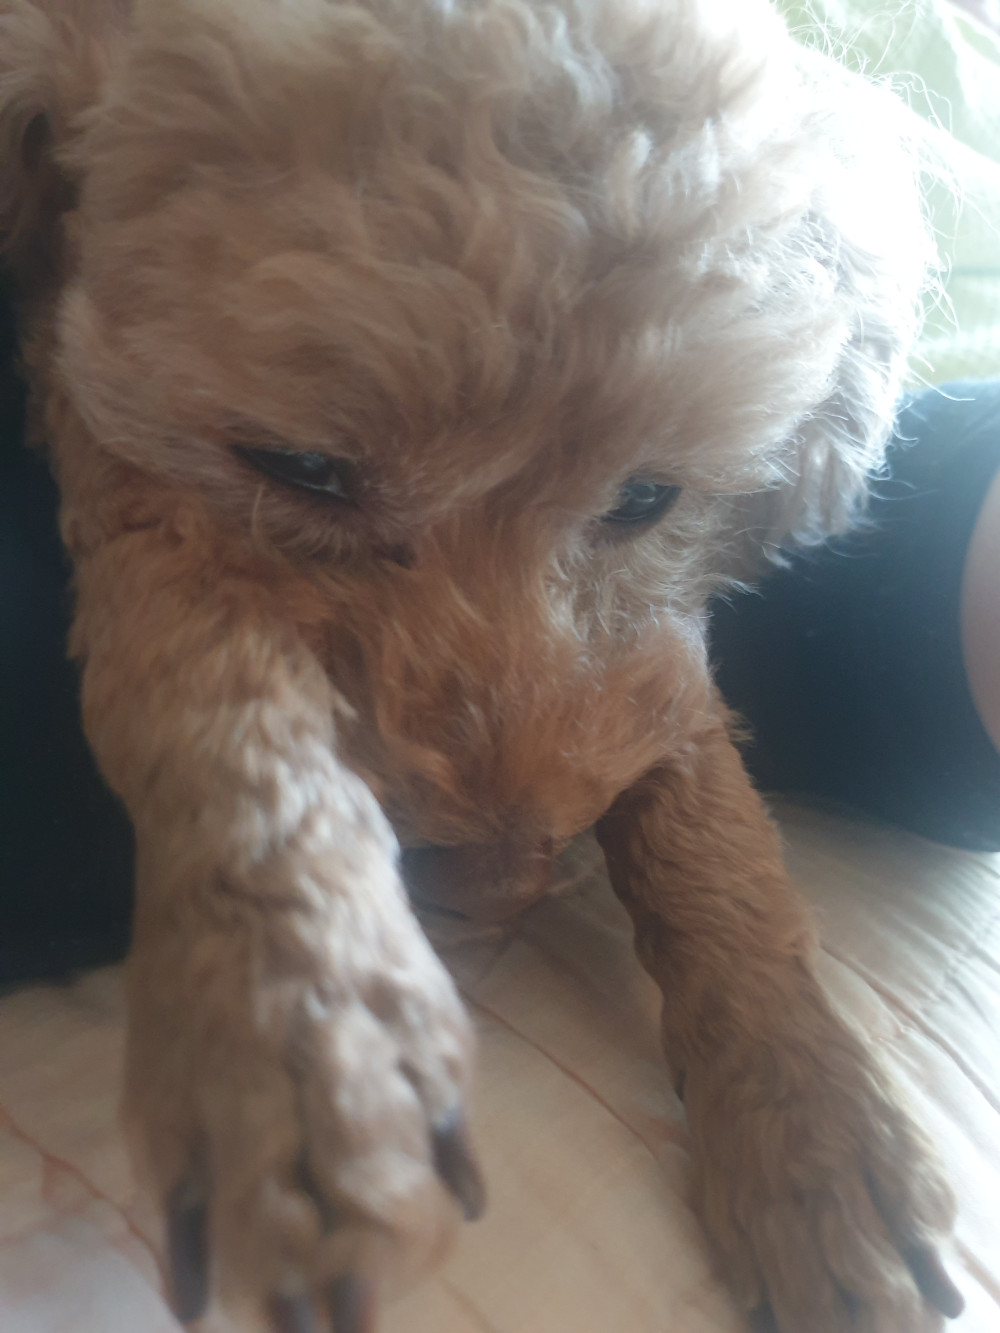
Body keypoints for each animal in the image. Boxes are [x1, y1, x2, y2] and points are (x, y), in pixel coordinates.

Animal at [0, 1, 966, 1330]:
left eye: (649, 496)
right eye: (300, 468)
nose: (502, 886)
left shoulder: (653, 666)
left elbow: (704, 814)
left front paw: (811, 1128)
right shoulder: (121, 457)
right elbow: (200, 655)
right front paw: (298, 1015)